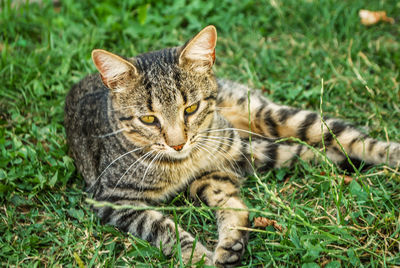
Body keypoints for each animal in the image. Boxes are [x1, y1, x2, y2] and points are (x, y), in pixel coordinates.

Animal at [63, 24, 400, 266]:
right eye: (148, 119)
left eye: (190, 109)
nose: (178, 144)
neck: (186, 163)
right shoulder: (113, 198)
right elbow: (167, 225)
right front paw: (210, 252)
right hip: (256, 152)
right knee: (304, 153)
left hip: (271, 119)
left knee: (347, 137)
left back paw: (388, 154)